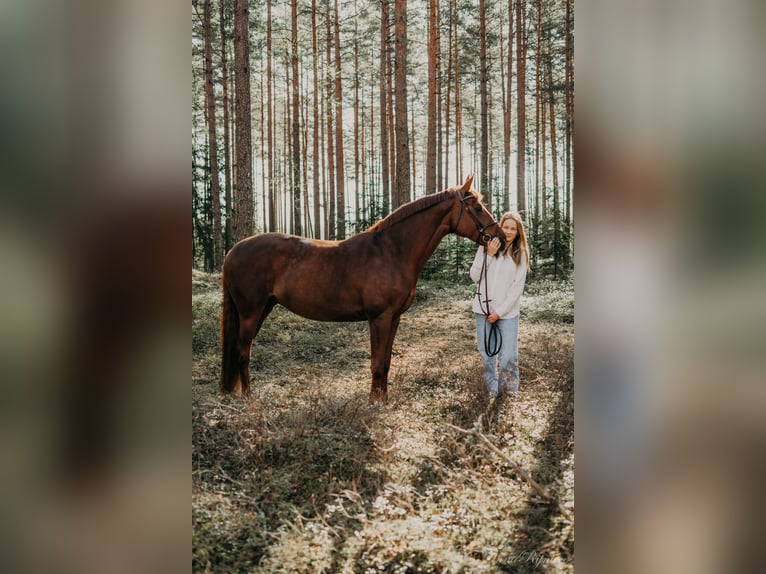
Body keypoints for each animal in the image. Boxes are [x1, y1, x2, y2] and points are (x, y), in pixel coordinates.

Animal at [220, 176, 504, 404]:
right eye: (477, 207)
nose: (500, 240)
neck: (392, 251)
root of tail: (233, 251)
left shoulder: (394, 318)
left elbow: (386, 363)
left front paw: (384, 401)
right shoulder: (379, 317)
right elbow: (377, 364)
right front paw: (373, 404)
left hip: (262, 309)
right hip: (251, 312)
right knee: (242, 352)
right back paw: (249, 399)